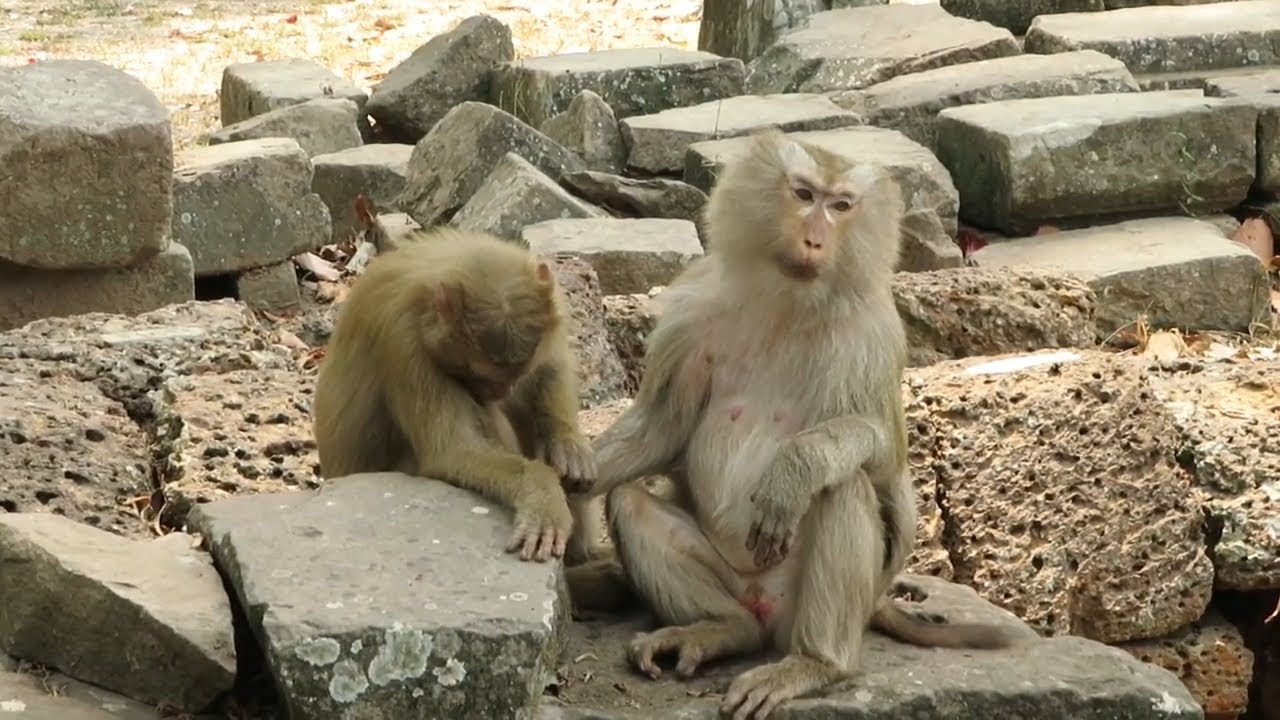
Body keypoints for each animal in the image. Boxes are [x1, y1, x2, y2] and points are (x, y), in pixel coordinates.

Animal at [312, 225, 597, 563]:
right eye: (480, 373)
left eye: (515, 373)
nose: (501, 390)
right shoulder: (403, 339)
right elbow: (453, 450)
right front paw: (540, 491)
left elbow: (550, 366)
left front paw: (568, 442)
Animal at [563, 129, 1031, 719]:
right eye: (804, 195)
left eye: (841, 206)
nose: (814, 240)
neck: (788, 301)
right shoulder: (691, 309)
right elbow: (663, 425)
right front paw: (567, 482)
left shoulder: (874, 332)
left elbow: (885, 454)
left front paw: (794, 471)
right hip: (736, 580)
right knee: (630, 503)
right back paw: (723, 629)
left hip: (810, 600)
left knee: (843, 487)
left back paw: (816, 662)